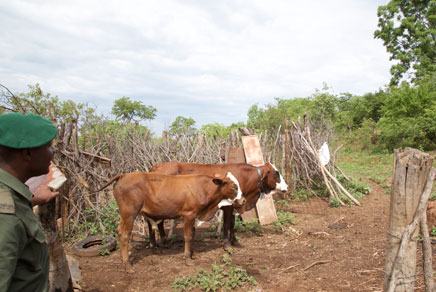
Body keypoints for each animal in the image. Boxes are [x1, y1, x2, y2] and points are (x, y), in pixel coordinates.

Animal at [95, 171, 244, 272]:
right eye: (233, 186)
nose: (243, 200)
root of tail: (124, 175)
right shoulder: (189, 215)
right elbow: (188, 236)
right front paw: (188, 259)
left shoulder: (194, 216)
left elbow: (192, 235)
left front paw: (192, 255)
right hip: (129, 214)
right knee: (125, 234)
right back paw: (127, 265)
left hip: (126, 215)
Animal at [151, 162, 290, 249]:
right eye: (276, 173)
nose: (287, 186)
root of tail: (158, 165)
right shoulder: (228, 206)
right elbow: (227, 224)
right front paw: (226, 244)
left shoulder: (235, 205)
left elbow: (232, 223)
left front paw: (234, 241)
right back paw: (158, 243)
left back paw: (159, 243)